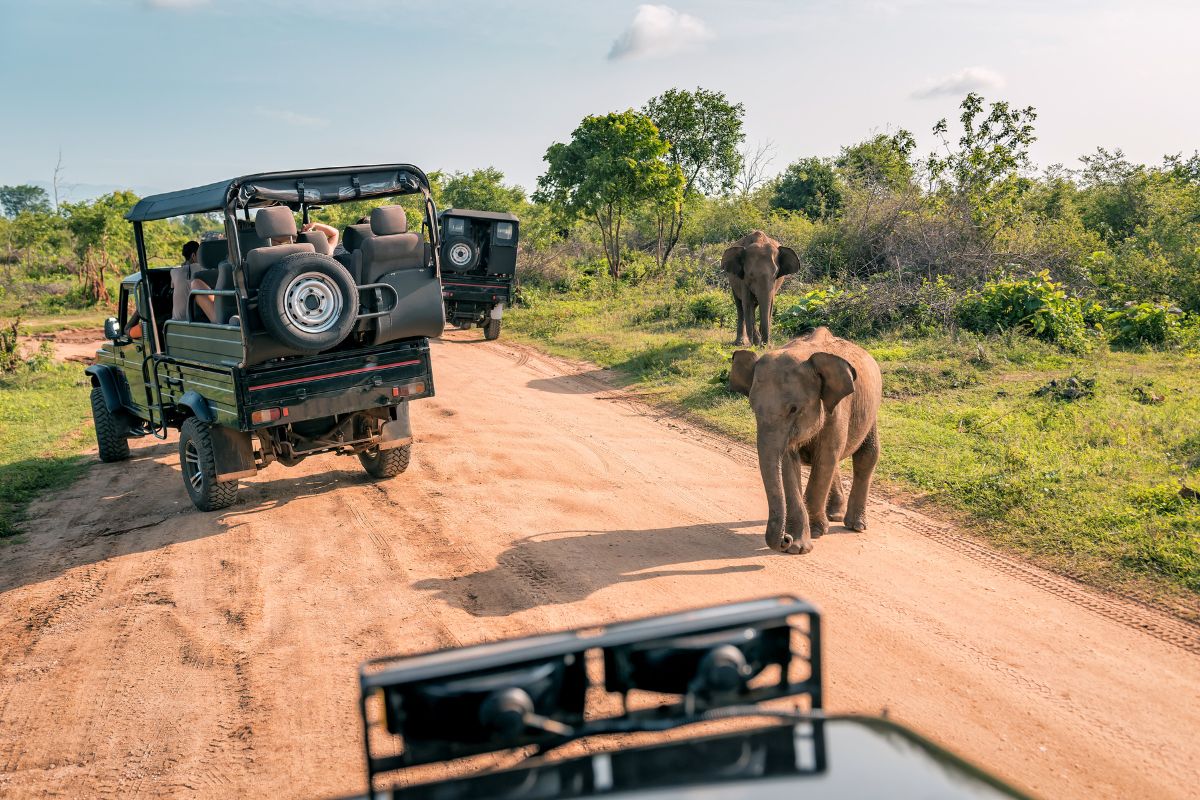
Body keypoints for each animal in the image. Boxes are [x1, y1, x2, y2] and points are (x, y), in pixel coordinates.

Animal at [720, 326, 883, 556]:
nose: (784, 540)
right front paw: (798, 546)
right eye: (753, 408)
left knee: (866, 455)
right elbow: (790, 463)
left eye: (794, 409)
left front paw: (815, 532)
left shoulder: (837, 410)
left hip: (872, 409)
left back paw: (854, 525)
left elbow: (825, 458)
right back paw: (834, 515)